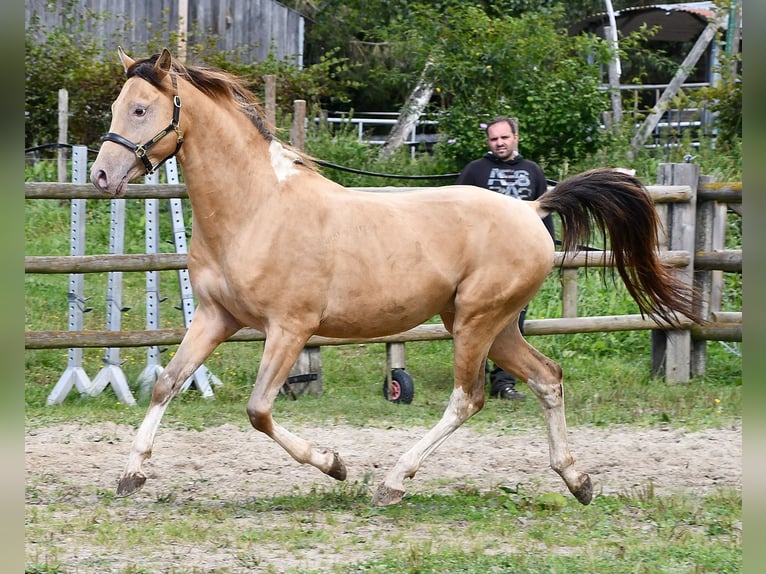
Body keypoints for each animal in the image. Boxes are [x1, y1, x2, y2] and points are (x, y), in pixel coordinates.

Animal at [90, 49, 704, 508]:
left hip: (476, 321)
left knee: (467, 398)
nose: (100, 175)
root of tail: (532, 210)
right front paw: (131, 475)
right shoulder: (217, 317)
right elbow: (168, 383)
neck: (256, 208)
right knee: (547, 377)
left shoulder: (289, 327)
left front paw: (335, 465)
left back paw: (392, 482)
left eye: (141, 109)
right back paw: (578, 482)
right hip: (491, 323)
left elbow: (259, 409)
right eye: (118, 107)